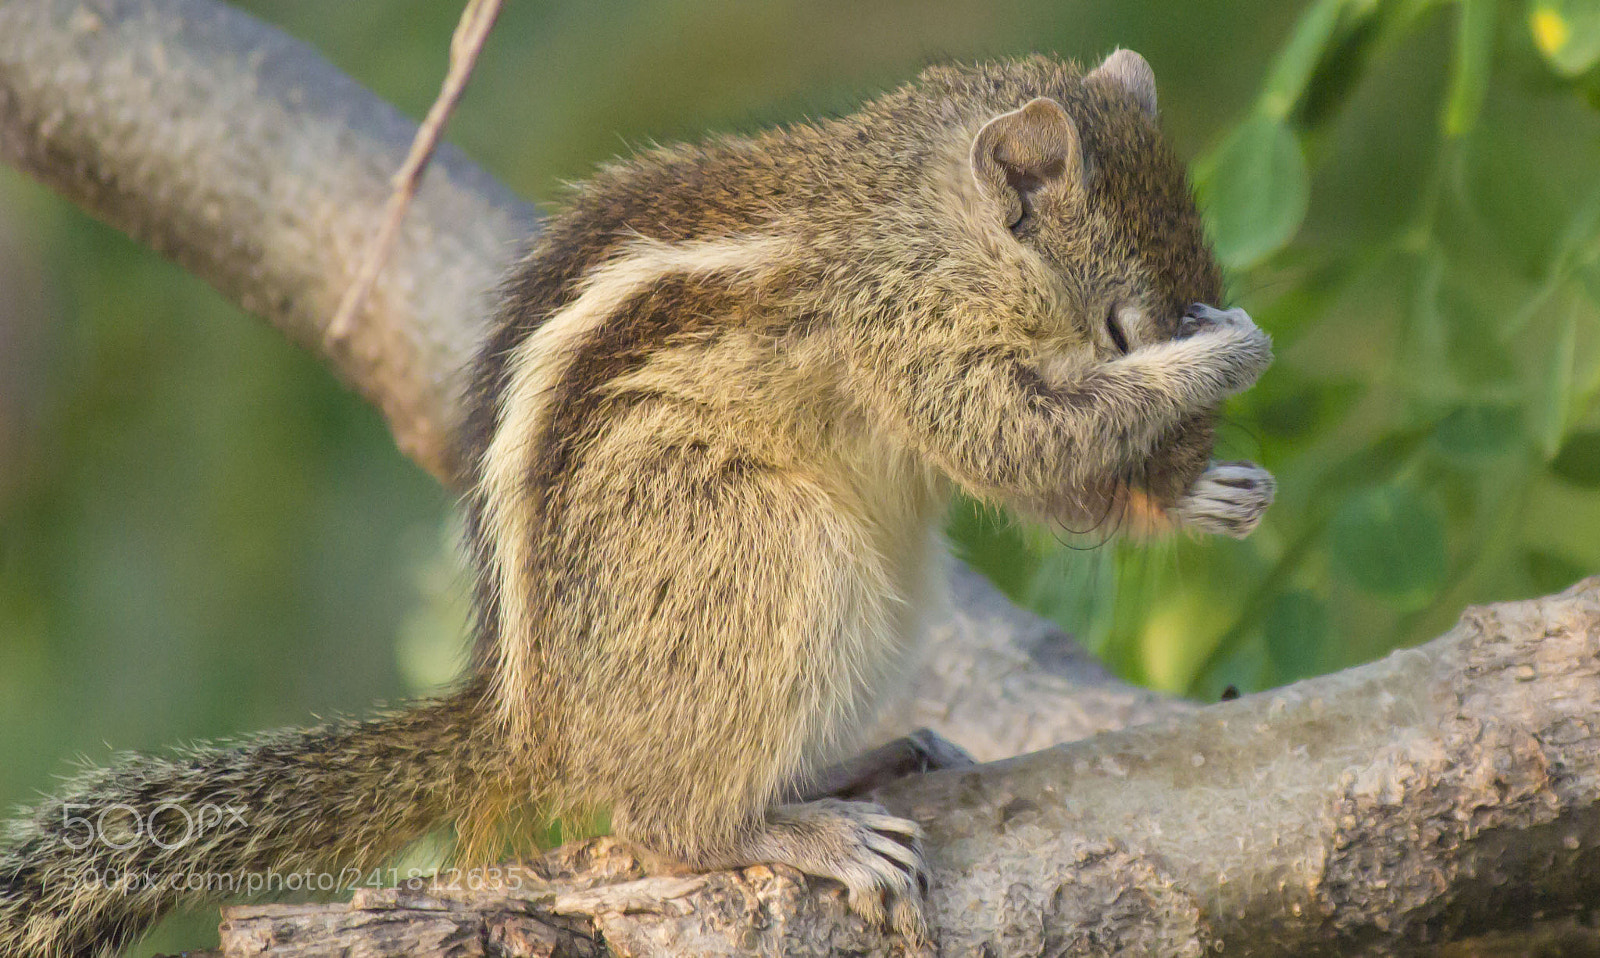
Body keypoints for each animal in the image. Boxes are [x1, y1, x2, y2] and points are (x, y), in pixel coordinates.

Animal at [0, 50, 1274, 955]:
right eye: (1119, 324)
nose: (1199, 445)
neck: (919, 220)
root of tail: (533, 729)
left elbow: (1061, 490)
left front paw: (1207, 489)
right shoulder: (913, 337)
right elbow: (1015, 446)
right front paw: (1216, 363)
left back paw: (856, 764)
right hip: (761, 553)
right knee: (666, 824)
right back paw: (800, 827)